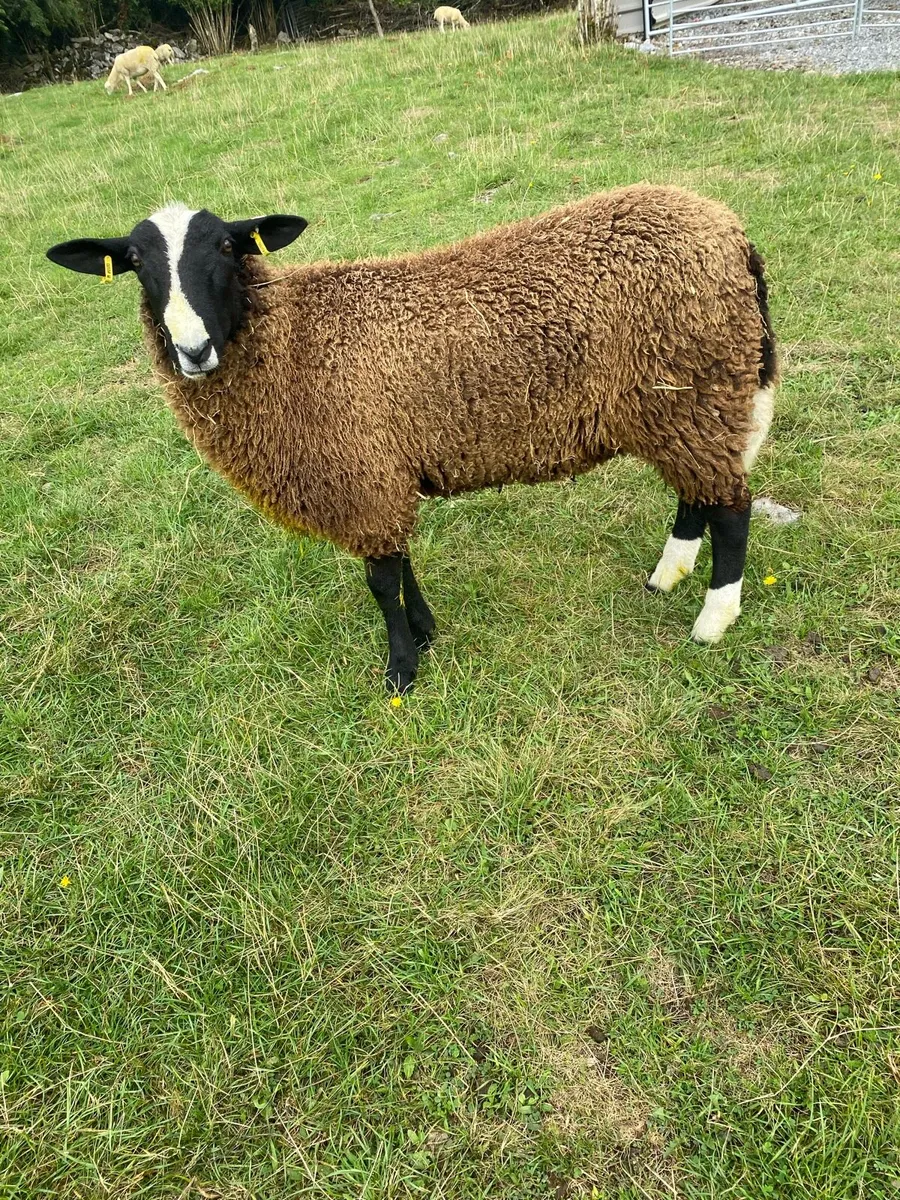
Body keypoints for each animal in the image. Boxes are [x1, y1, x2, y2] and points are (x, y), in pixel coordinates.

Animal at [46, 185, 777, 695]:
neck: (291, 340)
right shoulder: (380, 470)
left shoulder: (361, 471)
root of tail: (729, 230)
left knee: (732, 507)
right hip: (683, 403)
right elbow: (399, 564)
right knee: (699, 494)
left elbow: (379, 581)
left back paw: (713, 619)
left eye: (228, 248)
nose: (192, 350)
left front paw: (400, 669)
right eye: (134, 261)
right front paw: (425, 633)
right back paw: (668, 575)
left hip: (696, 386)